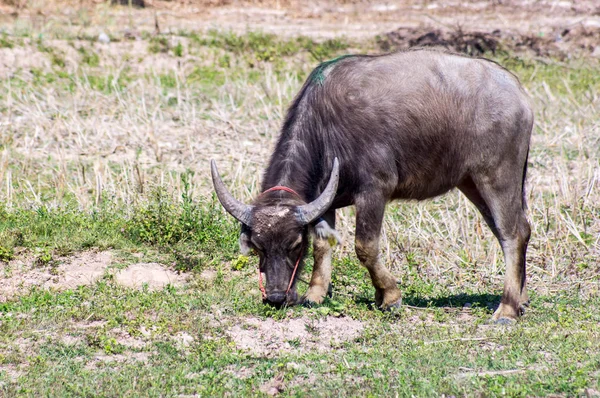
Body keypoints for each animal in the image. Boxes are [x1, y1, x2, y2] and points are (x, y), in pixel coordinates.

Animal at [212, 49, 536, 324]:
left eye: (294, 244)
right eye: (258, 247)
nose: (277, 298)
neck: (326, 126)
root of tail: (519, 93)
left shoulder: (374, 191)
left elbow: (365, 247)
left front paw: (390, 297)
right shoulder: (325, 199)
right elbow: (323, 245)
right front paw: (315, 294)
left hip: (496, 175)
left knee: (513, 233)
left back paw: (506, 309)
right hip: (471, 182)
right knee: (512, 230)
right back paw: (520, 299)